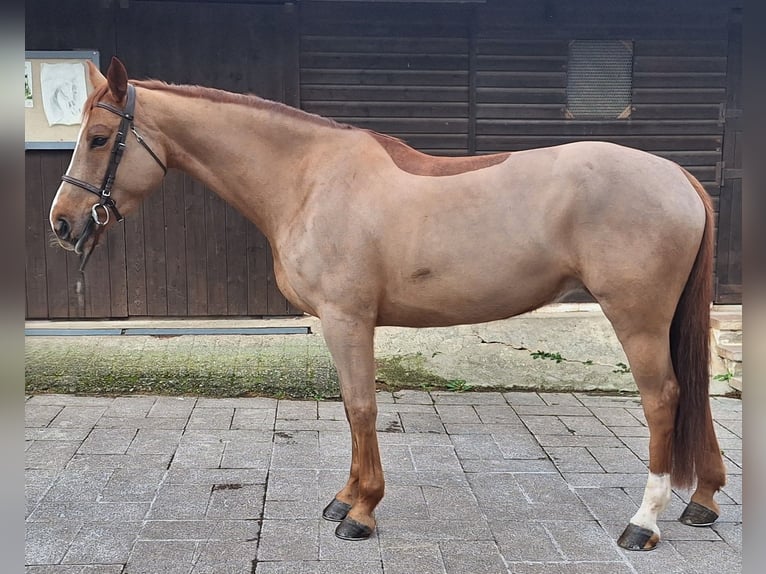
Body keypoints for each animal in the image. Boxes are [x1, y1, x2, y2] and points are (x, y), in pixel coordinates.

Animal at [49, 56, 726, 549]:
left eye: (100, 138)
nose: (61, 223)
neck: (308, 179)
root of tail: (677, 175)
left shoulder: (348, 320)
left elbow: (362, 408)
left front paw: (363, 511)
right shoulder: (337, 324)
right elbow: (352, 412)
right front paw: (344, 499)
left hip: (636, 318)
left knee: (664, 398)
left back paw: (644, 522)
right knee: (694, 392)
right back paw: (703, 501)